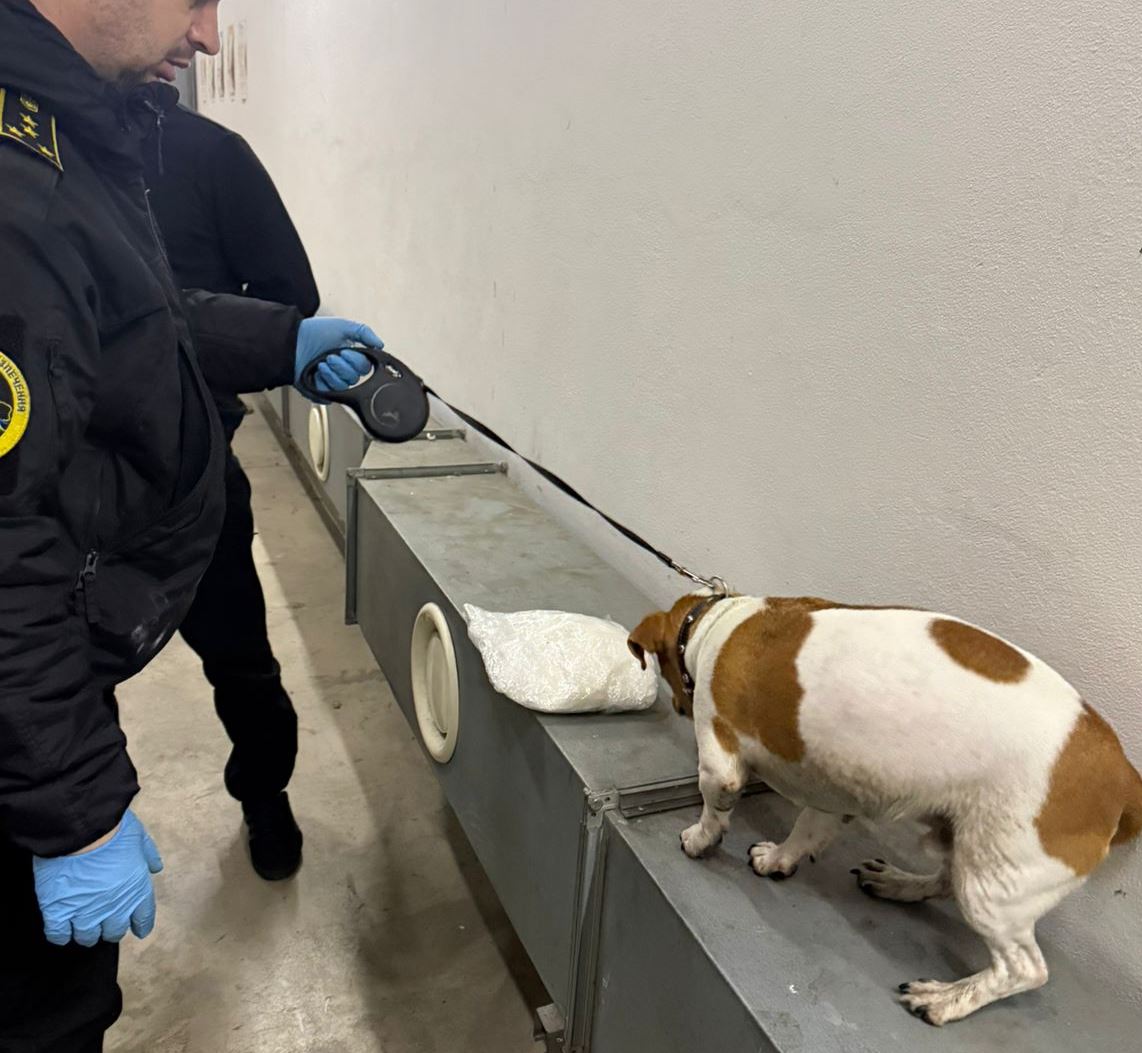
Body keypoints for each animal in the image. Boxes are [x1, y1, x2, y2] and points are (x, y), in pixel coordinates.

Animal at [627, 592, 1142, 1026]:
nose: (677, 705)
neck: (721, 622)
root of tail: (1124, 777)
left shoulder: (721, 760)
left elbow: (715, 806)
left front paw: (699, 838)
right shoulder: (830, 793)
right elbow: (807, 832)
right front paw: (779, 859)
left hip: (1000, 883)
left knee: (1024, 969)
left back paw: (947, 999)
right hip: (973, 849)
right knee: (944, 881)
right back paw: (900, 884)